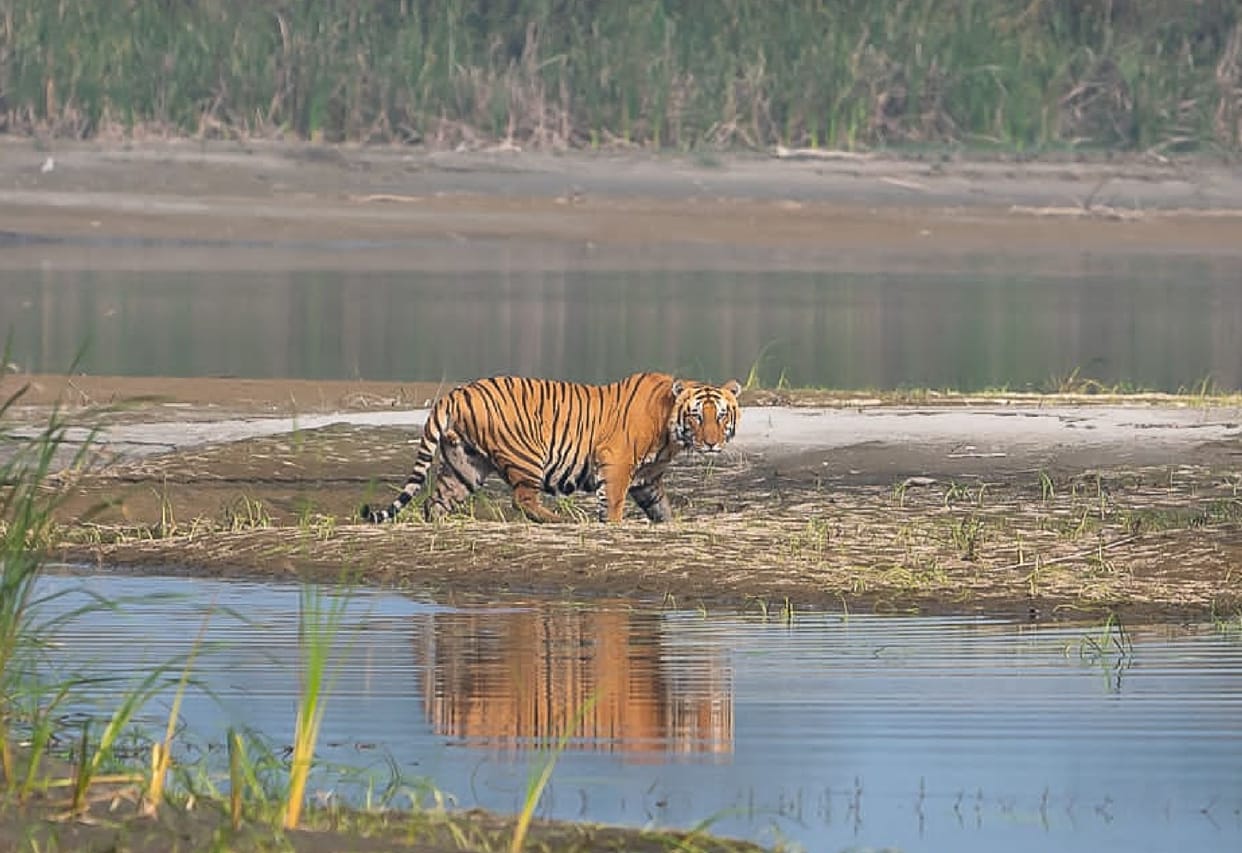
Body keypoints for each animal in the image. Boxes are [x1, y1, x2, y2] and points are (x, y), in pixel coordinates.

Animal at [360, 372, 742, 524]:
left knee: (435, 501)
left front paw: (669, 525)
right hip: (526, 454)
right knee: (523, 499)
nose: (711, 443)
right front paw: (612, 524)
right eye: (696, 416)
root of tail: (457, 392)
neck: (670, 430)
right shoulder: (617, 465)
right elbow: (613, 505)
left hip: (465, 464)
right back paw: (558, 519)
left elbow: (662, 508)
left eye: (721, 415)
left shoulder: (647, 479)